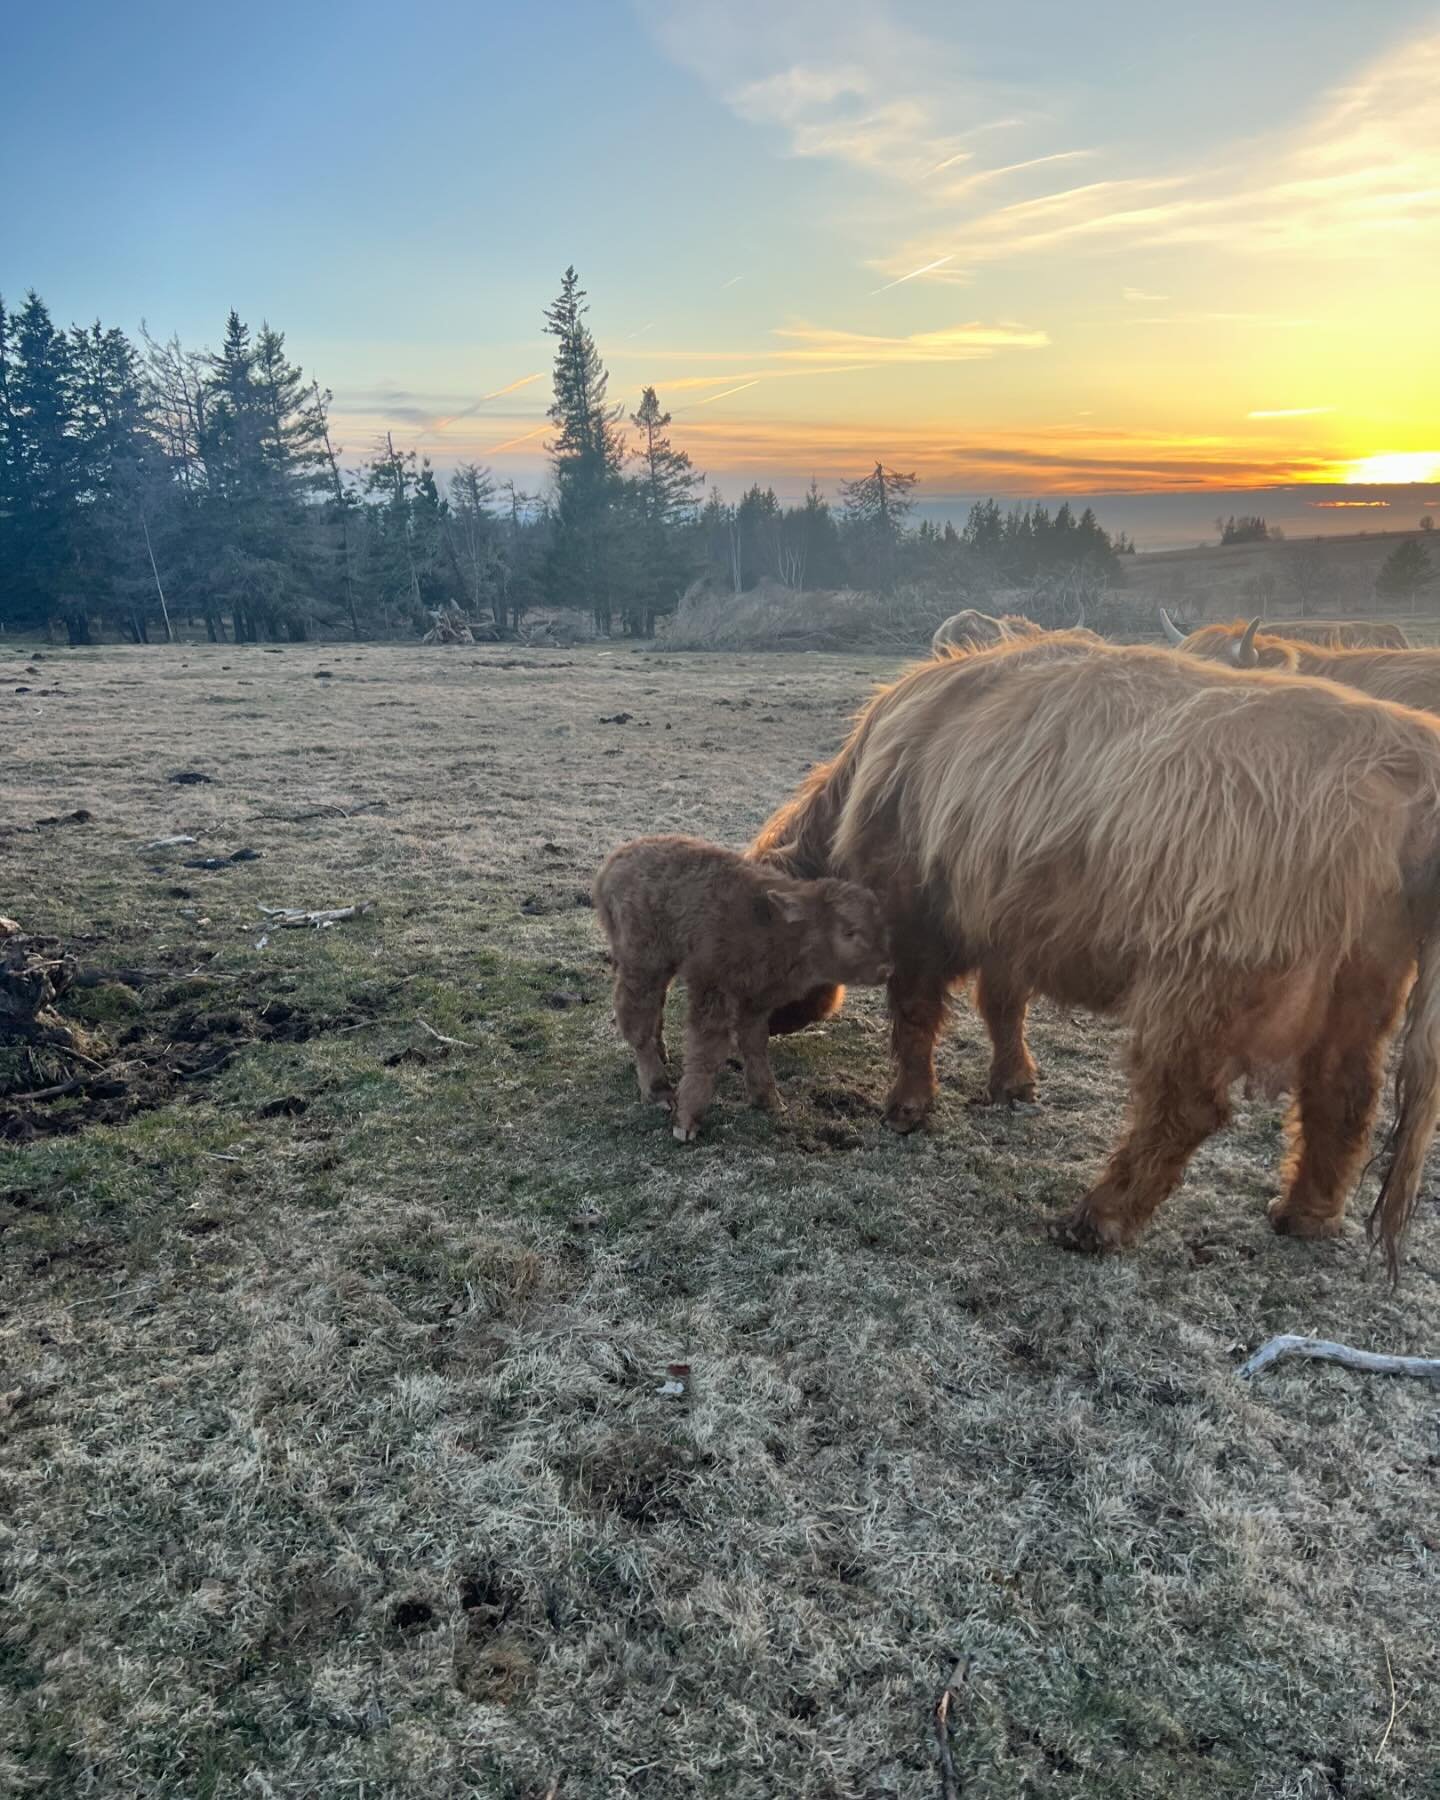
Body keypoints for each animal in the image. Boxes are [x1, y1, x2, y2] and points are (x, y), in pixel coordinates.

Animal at [594, 838, 889, 1144]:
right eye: (849, 932)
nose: (886, 968)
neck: (772, 927)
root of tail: (612, 864)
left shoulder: (756, 1001)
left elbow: (755, 1045)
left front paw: (768, 1099)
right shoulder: (713, 989)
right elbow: (706, 1054)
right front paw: (687, 1121)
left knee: (656, 1007)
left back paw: (661, 1053)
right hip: (642, 962)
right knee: (635, 1018)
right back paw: (658, 1089)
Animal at [748, 640, 1440, 1274]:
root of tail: (1406, 750)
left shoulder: (914, 912)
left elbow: (915, 1017)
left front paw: (907, 1110)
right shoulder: (1008, 918)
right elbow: (1002, 1005)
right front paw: (1013, 1084)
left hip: (1203, 984)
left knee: (1184, 1108)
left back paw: (1094, 1221)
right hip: (1362, 982)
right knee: (1344, 1091)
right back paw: (1305, 1215)